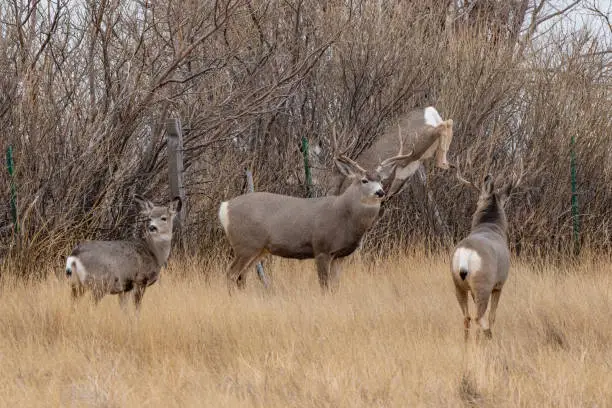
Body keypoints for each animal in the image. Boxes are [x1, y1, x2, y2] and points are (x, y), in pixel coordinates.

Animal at [218, 152, 408, 290]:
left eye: (381, 180)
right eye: (364, 180)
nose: (380, 192)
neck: (343, 215)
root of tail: (224, 207)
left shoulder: (340, 256)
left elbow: (335, 286)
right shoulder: (321, 248)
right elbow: (324, 285)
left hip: (258, 249)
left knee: (241, 277)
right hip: (245, 244)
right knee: (231, 274)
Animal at [450, 159, 520, 342]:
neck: (490, 226)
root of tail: (466, 253)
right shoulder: (499, 284)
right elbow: (493, 315)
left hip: (458, 284)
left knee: (466, 317)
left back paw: (467, 343)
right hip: (483, 284)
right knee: (479, 317)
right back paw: (487, 337)